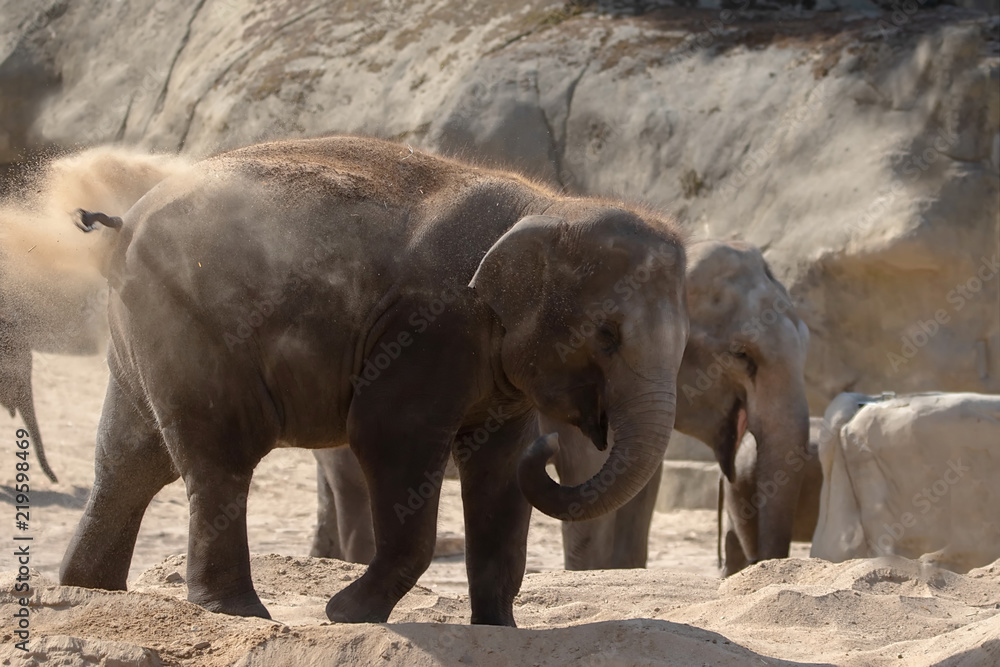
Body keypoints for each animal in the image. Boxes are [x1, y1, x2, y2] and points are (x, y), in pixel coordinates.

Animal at [61, 135, 689, 627]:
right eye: (607, 336)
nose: (558, 445)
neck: (547, 204)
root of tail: (124, 221)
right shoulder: (428, 330)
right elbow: (388, 437)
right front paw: (346, 614)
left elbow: (500, 463)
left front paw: (498, 627)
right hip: (190, 325)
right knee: (220, 457)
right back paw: (236, 611)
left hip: (144, 331)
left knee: (130, 459)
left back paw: (88, 591)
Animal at [310, 239, 813, 575]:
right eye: (742, 355)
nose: (760, 568)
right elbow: (586, 465)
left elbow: (641, 489)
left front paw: (620, 573)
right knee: (358, 482)